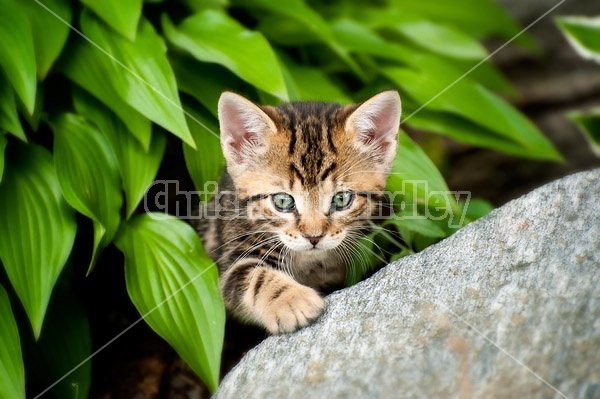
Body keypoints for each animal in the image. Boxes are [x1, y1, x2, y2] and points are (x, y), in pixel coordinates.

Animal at [197, 90, 400, 334]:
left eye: (342, 199)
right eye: (283, 201)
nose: (314, 237)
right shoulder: (232, 253)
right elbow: (252, 275)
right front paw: (292, 300)